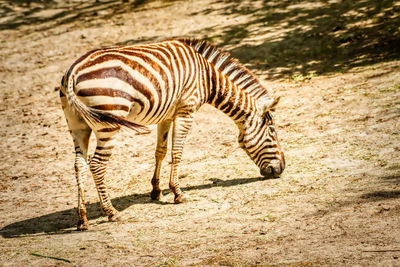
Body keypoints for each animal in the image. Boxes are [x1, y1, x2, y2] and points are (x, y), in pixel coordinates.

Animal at [58, 38, 284, 231]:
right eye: (272, 131)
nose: (281, 169)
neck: (207, 77)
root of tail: (73, 71)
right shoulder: (186, 110)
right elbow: (177, 152)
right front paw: (177, 192)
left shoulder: (166, 115)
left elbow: (161, 151)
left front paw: (156, 191)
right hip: (108, 122)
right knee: (97, 165)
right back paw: (111, 212)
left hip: (78, 127)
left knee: (79, 166)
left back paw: (82, 219)